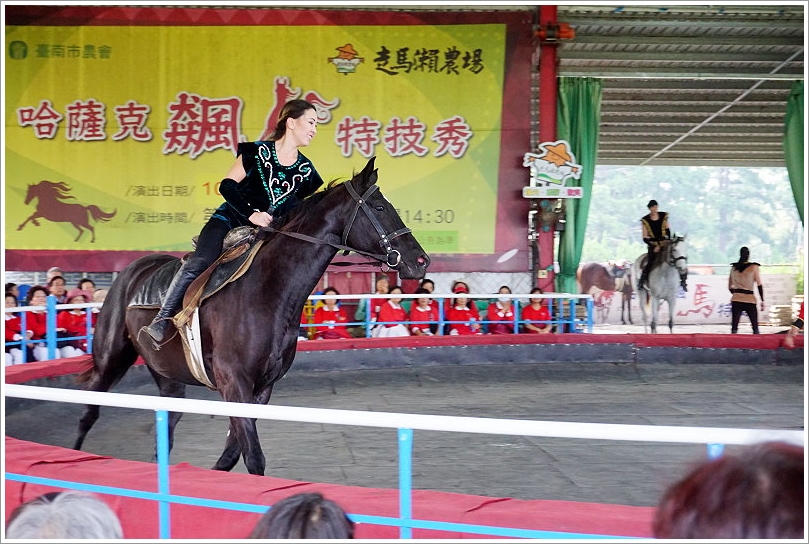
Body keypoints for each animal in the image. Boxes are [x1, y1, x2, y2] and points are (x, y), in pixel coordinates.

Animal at [72, 157, 430, 476]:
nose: (421, 261)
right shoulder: (235, 383)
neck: (268, 291)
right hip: (111, 358)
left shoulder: (261, 388)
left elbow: (233, 454)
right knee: (88, 412)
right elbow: (253, 457)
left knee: (166, 427)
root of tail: (132, 270)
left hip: (168, 376)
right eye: (380, 208)